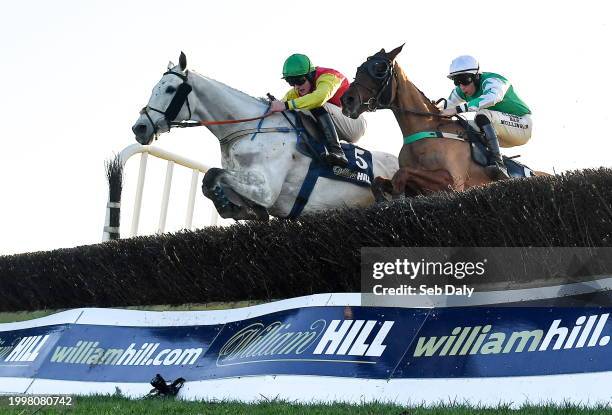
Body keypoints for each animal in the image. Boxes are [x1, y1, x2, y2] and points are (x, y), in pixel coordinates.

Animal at [342, 46, 548, 199]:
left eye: (379, 69)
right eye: (359, 68)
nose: (347, 100)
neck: (426, 128)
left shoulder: (452, 183)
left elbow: (402, 174)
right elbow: (380, 181)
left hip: (521, 128)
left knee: (484, 116)